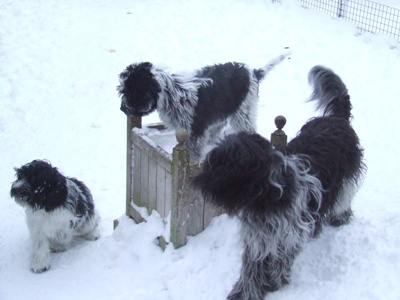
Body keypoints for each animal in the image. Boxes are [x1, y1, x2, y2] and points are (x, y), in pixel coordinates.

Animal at [115, 50, 290, 161]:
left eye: (129, 91)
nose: (122, 109)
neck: (170, 92)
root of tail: (253, 72)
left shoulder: (195, 129)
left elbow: (193, 148)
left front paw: (193, 161)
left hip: (243, 111)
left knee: (248, 129)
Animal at [193, 66, 366, 300]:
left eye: (222, 166)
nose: (197, 180)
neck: (269, 193)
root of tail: (337, 118)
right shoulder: (260, 234)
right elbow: (253, 265)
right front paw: (246, 291)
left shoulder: (288, 232)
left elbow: (279, 258)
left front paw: (275, 282)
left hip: (345, 181)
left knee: (343, 199)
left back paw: (340, 217)